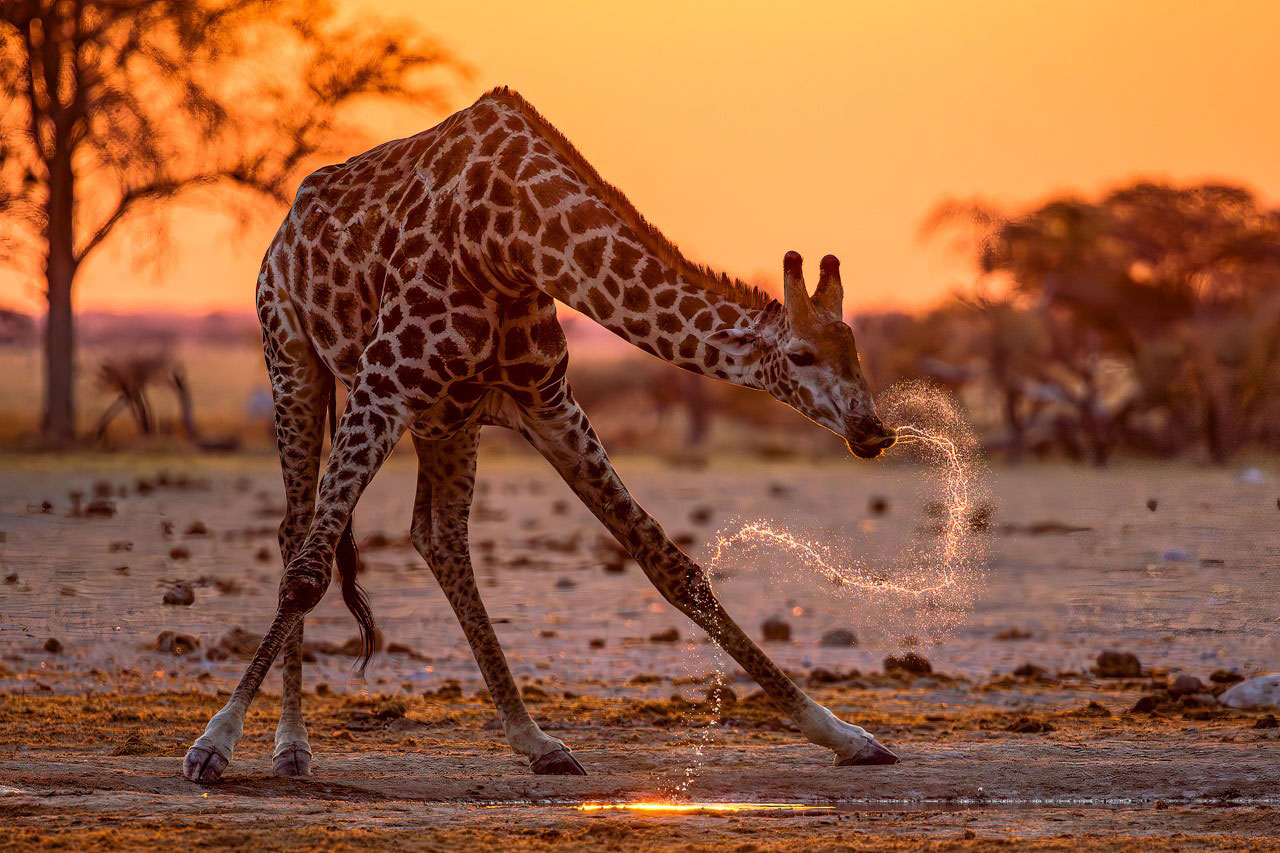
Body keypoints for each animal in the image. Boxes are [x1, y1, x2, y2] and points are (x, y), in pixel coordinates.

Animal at [182, 87, 901, 783]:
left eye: (856, 350)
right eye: (803, 356)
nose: (873, 430)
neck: (515, 240)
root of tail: (285, 228)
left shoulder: (547, 402)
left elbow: (672, 564)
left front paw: (846, 735)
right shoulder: (384, 381)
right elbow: (306, 576)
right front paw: (213, 743)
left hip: (446, 417)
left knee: (437, 536)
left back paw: (535, 740)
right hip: (293, 360)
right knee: (298, 534)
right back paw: (292, 747)